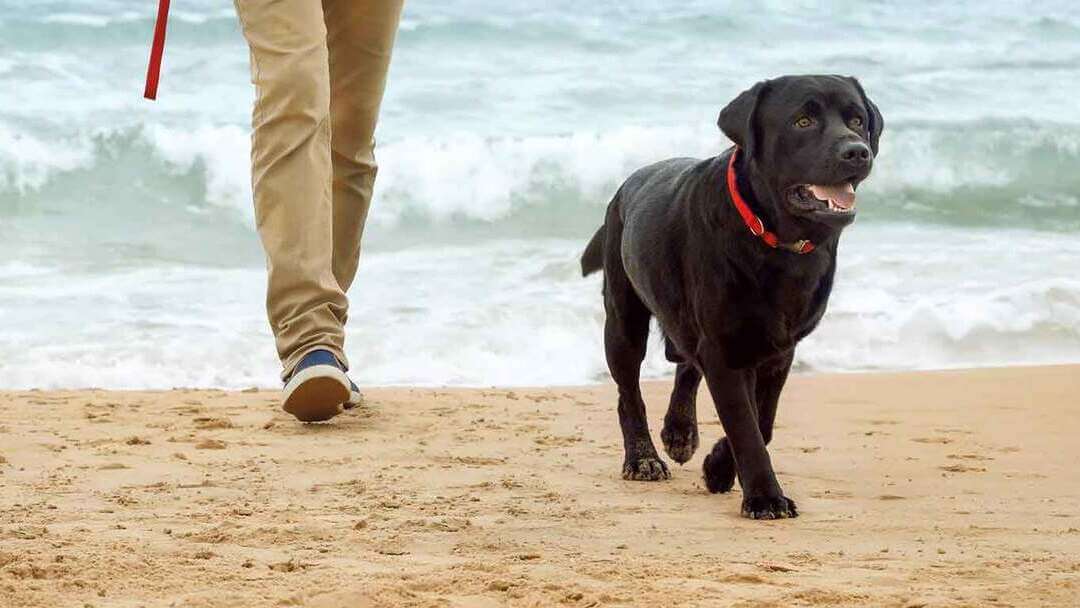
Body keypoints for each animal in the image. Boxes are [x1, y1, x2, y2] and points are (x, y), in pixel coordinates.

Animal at [583, 72, 876, 518]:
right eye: (803, 121)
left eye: (857, 120)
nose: (857, 151)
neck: (776, 242)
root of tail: (628, 184)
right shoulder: (725, 348)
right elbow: (745, 425)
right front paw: (765, 496)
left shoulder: (777, 350)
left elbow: (763, 420)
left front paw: (719, 468)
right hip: (623, 319)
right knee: (628, 392)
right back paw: (643, 458)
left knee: (686, 363)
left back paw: (680, 432)